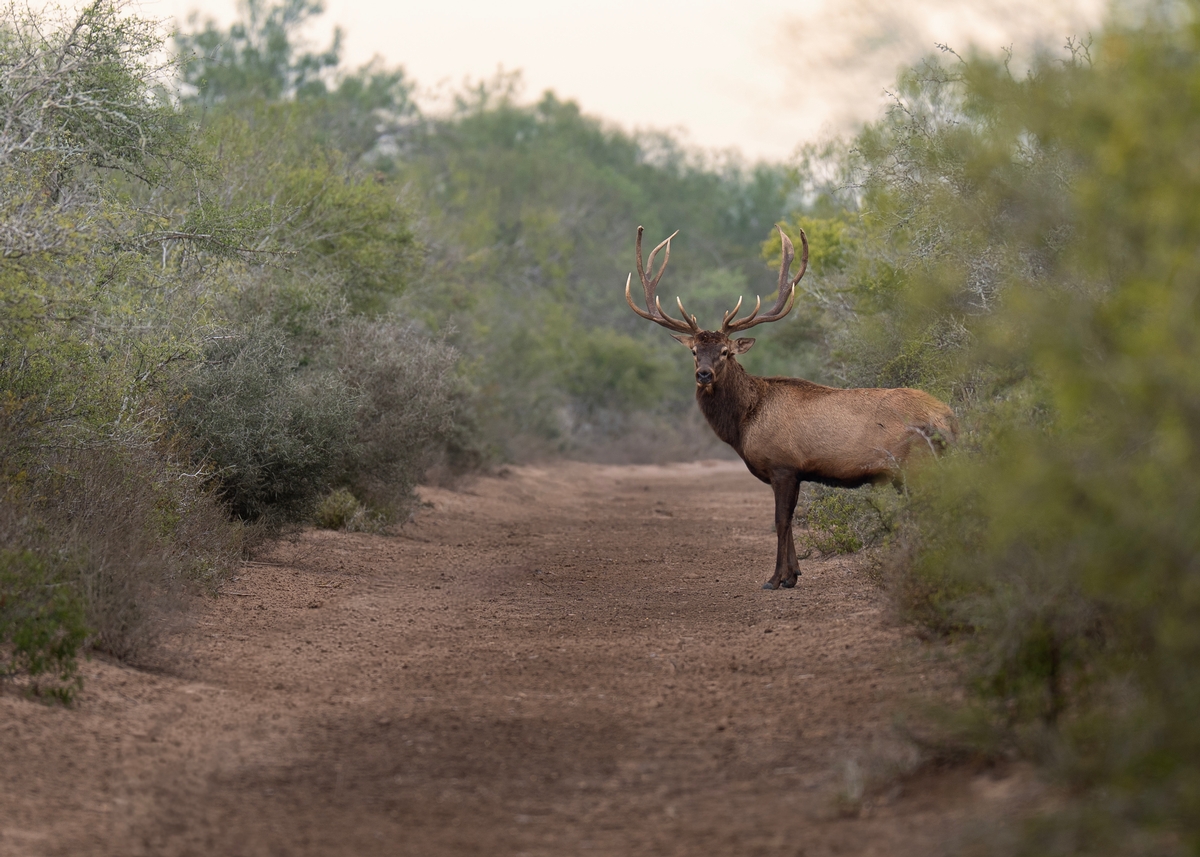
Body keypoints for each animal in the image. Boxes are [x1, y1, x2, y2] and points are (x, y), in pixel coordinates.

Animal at [625, 226, 957, 590]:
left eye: (726, 351)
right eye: (695, 351)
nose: (704, 374)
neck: (744, 423)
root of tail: (950, 419)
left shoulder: (782, 464)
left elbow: (781, 521)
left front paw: (775, 578)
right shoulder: (790, 472)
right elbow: (790, 521)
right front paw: (793, 575)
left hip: (919, 464)